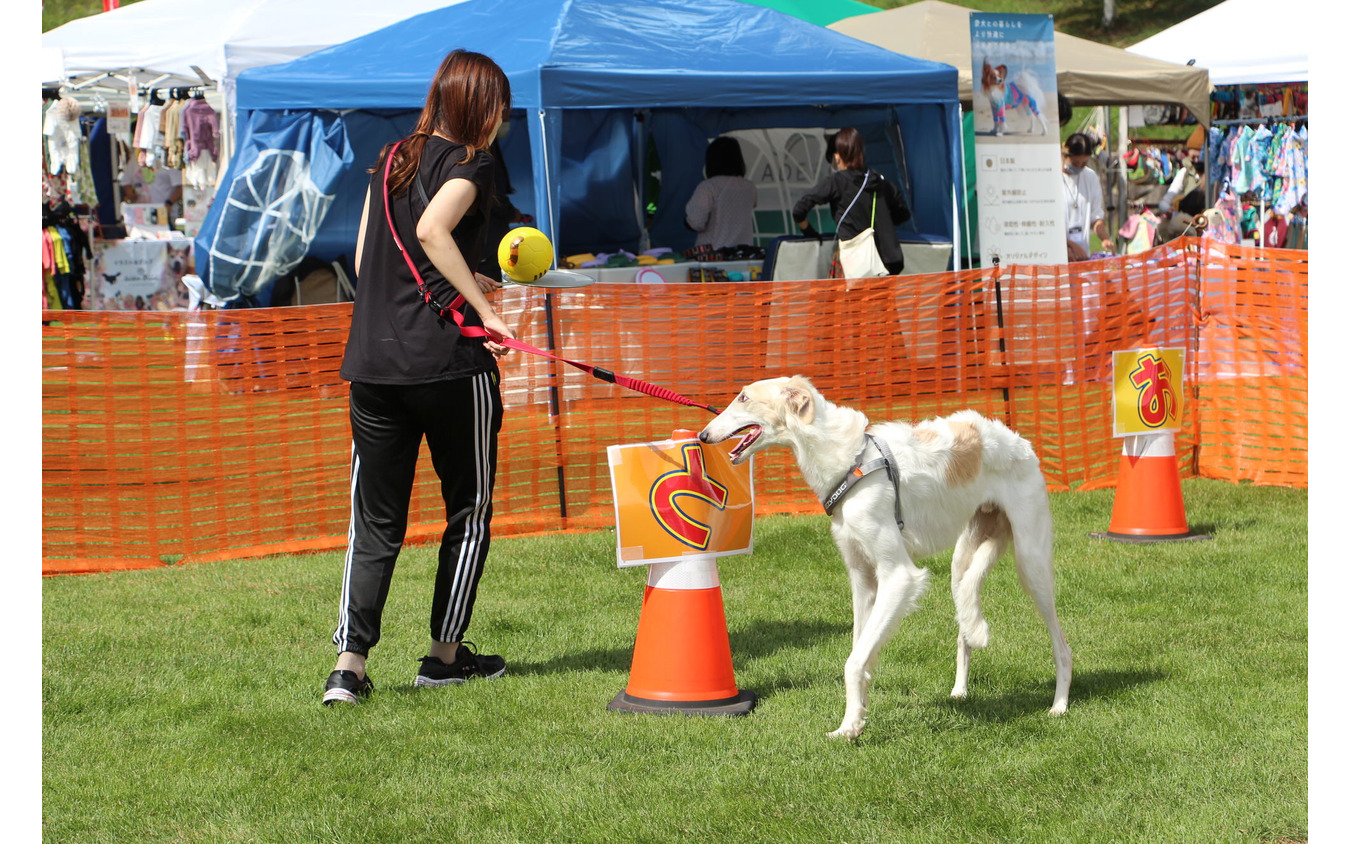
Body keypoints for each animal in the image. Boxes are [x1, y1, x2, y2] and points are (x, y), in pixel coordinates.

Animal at [702, 375, 1069, 734]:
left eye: (744, 397)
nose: (704, 435)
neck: (847, 460)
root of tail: (1020, 442)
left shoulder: (898, 576)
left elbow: (853, 661)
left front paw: (848, 728)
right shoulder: (862, 577)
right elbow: (861, 655)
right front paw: (857, 716)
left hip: (1031, 563)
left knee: (1062, 647)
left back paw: (1059, 705)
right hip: (961, 562)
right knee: (965, 630)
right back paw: (960, 690)